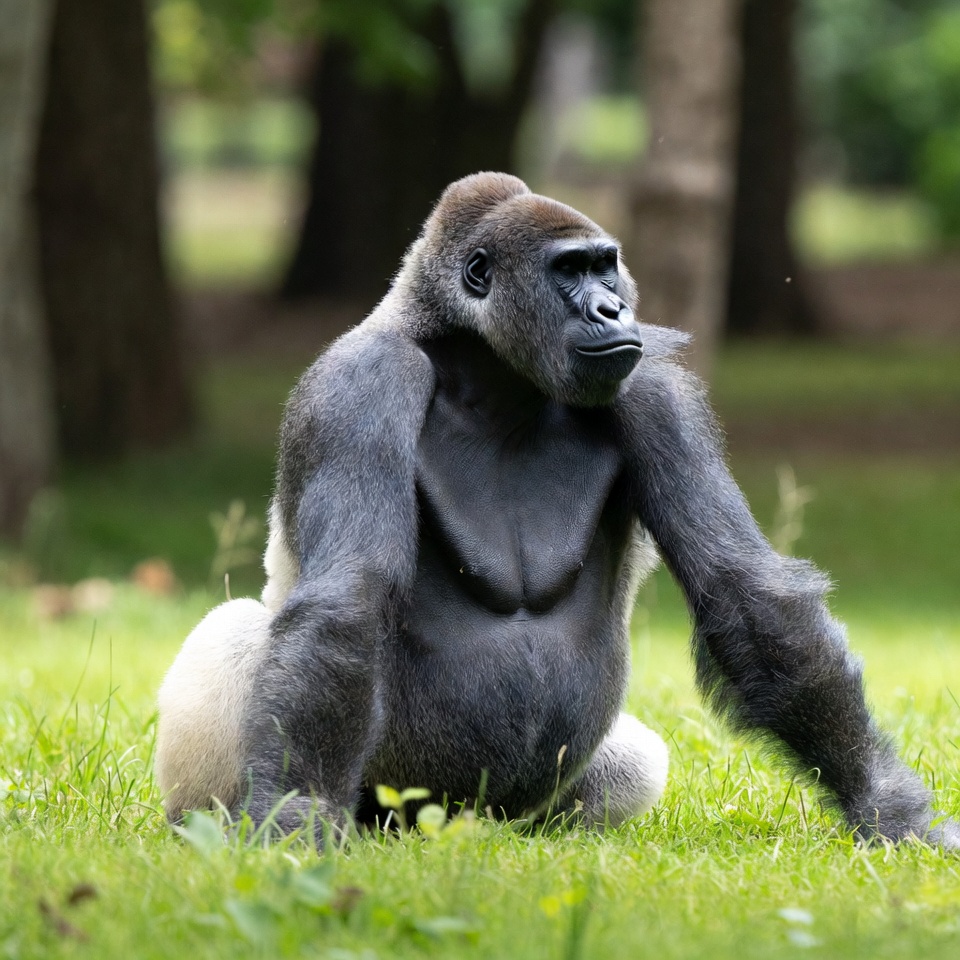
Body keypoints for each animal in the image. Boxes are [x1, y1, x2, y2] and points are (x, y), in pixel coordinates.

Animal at [156, 172, 958, 848]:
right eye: (568, 271)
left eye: (606, 267)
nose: (613, 307)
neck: (489, 375)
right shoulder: (362, 384)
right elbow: (345, 601)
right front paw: (296, 817)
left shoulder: (653, 386)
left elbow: (749, 597)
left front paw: (889, 810)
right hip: (379, 808)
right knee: (237, 630)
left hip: (510, 815)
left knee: (633, 760)